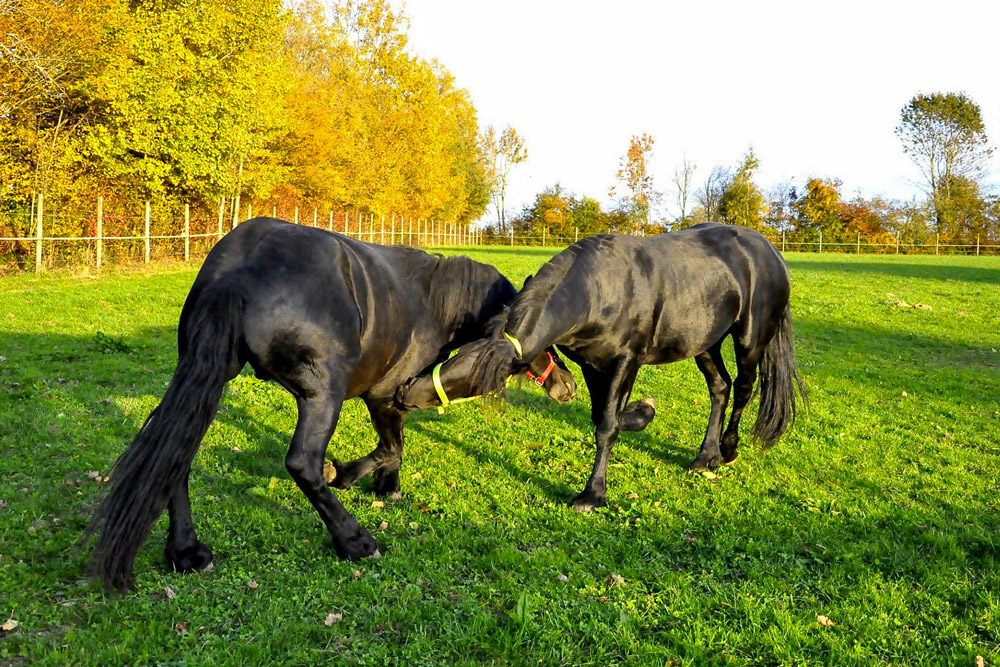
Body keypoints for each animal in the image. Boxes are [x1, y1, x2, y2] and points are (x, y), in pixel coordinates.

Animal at [88, 217, 576, 590]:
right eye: (545, 339)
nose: (569, 387)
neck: (435, 302)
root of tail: (239, 271)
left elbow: (393, 448)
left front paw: (384, 486)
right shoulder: (386, 395)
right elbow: (391, 447)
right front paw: (357, 478)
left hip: (206, 378)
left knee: (175, 455)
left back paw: (186, 552)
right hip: (323, 395)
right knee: (301, 463)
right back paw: (355, 542)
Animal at [396, 223, 806, 511]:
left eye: (476, 382)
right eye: (456, 354)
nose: (404, 392)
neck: (599, 289)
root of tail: (769, 249)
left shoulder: (627, 360)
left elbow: (607, 427)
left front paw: (592, 494)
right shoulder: (593, 364)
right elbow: (603, 417)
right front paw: (642, 412)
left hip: (749, 340)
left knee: (744, 390)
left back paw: (727, 450)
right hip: (704, 343)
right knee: (720, 388)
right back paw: (705, 457)